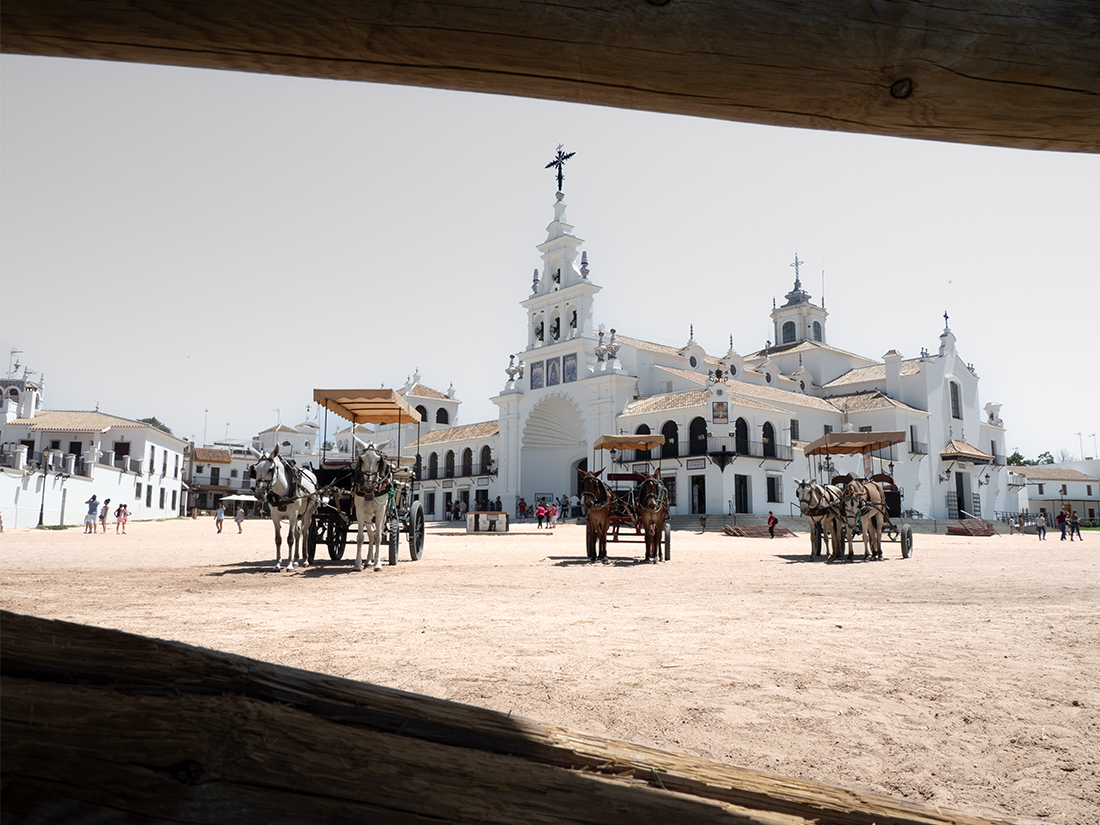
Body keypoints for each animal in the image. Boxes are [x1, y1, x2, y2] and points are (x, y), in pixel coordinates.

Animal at [249, 446, 319, 576]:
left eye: (270, 469)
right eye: (254, 470)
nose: (259, 493)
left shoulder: (292, 514)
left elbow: (290, 539)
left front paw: (289, 565)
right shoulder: (275, 516)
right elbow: (278, 539)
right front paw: (278, 564)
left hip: (307, 514)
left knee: (305, 533)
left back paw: (305, 560)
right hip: (298, 516)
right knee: (298, 533)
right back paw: (296, 560)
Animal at [352, 440, 396, 576]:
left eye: (378, 460)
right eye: (361, 459)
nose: (368, 486)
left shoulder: (380, 511)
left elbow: (378, 537)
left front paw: (377, 564)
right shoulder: (360, 511)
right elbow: (361, 537)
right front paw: (357, 564)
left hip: (383, 514)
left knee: (377, 533)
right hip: (368, 515)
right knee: (370, 533)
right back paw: (368, 560)